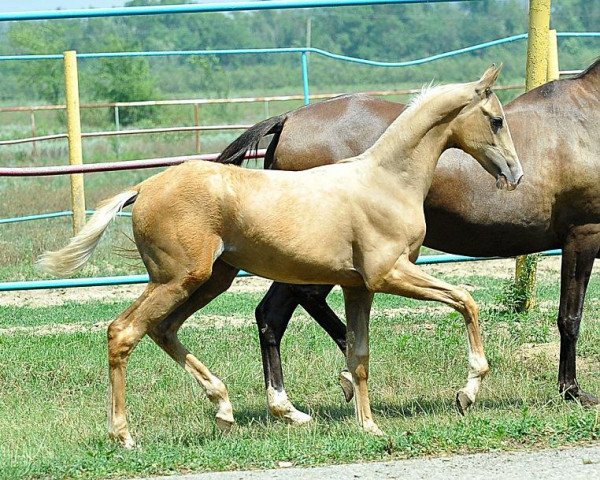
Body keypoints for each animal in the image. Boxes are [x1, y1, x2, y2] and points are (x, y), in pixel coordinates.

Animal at [39, 64, 524, 446]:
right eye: (497, 120)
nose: (516, 175)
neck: (386, 181)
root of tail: (143, 187)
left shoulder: (359, 287)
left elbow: (359, 354)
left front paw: (369, 426)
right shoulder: (390, 274)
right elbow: (466, 299)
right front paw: (467, 392)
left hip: (211, 280)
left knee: (163, 329)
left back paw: (225, 407)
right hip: (178, 279)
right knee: (124, 332)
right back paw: (124, 435)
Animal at [218, 58, 600, 422]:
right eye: (496, 121)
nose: (515, 174)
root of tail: (288, 119)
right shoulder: (584, 235)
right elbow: (569, 317)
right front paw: (572, 391)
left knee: (273, 314)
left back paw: (296, 403)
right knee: (289, 308)